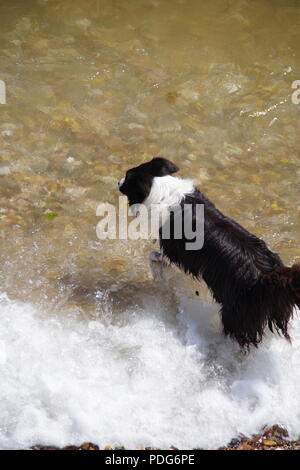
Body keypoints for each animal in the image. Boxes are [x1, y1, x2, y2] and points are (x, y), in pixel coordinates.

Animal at [119, 156, 300, 346]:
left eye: (127, 176)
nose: (118, 182)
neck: (161, 188)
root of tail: (266, 275)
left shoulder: (178, 255)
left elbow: (154, 257)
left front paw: (159, 276)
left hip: (234, 313)